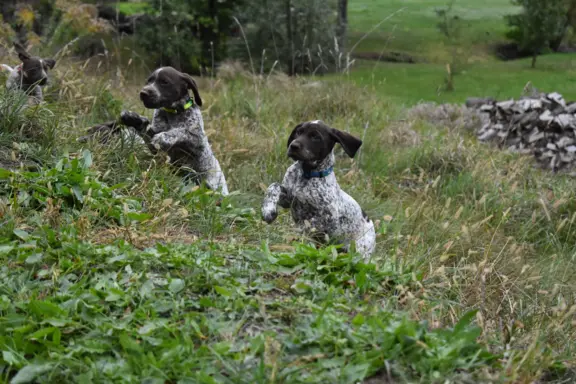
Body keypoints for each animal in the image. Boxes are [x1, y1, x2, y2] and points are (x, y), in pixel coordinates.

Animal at [262, 119, 378, 258]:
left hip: (359, 251)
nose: (293, 146)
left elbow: (311, 224)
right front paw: (268, 210)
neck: (307, 174)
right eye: (298, 132)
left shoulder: (329, 217)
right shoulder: (288, 200)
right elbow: (273, 186)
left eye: (316, 137)